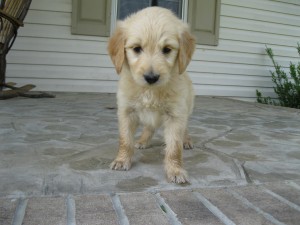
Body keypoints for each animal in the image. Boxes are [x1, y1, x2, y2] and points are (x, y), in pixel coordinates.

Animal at [107, 7, 195, 184]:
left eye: (167, 49)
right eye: (136, 48)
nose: (151, 77)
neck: (150, 91)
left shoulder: (176, 114)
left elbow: (174, 147)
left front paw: (175, 170)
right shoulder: (126, 111)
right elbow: (125, 140)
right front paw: (122, 160)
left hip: (187, 107)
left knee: (185, 128)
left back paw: (187, 140)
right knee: (149, 127)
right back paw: (143, 140)